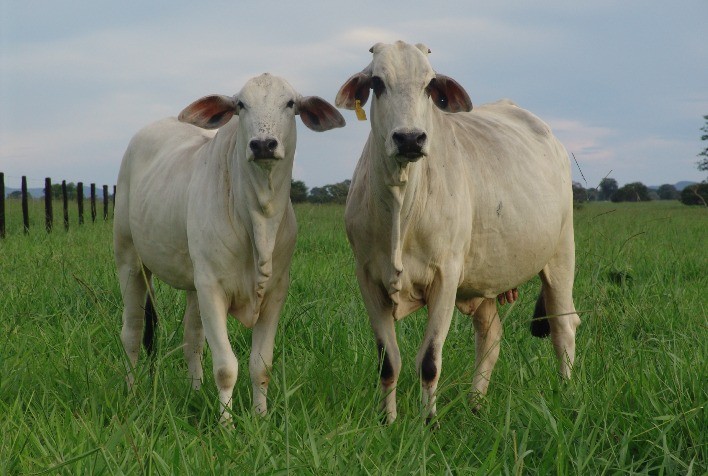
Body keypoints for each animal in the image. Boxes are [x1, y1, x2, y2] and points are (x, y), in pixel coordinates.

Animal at [114, 73, 345, 424]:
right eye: (241, 104)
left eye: (290, 103)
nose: (263, 145)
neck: (259, 218)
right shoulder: (212, 288)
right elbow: (225, 367)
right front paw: (227, 425)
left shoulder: (275, 292)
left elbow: (260, 365)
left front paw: (260, 418)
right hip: (130, 260)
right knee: (132, 332)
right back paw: (131, 393)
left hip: (192, 281)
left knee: (192, 339)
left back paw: (195, 392)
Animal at [336, 41, 581, 425]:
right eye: (377, 83)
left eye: (429, 84)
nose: (409, 138)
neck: (401, 205)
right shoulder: (368, 278)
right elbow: (389, 362)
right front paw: (387, 421)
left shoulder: (445, 277)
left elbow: (429, 360)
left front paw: (429, 423)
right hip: (485, 280)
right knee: (491, 337)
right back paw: (476, 404)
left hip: (560, 255)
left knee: (564, 328)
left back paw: (566, 394)